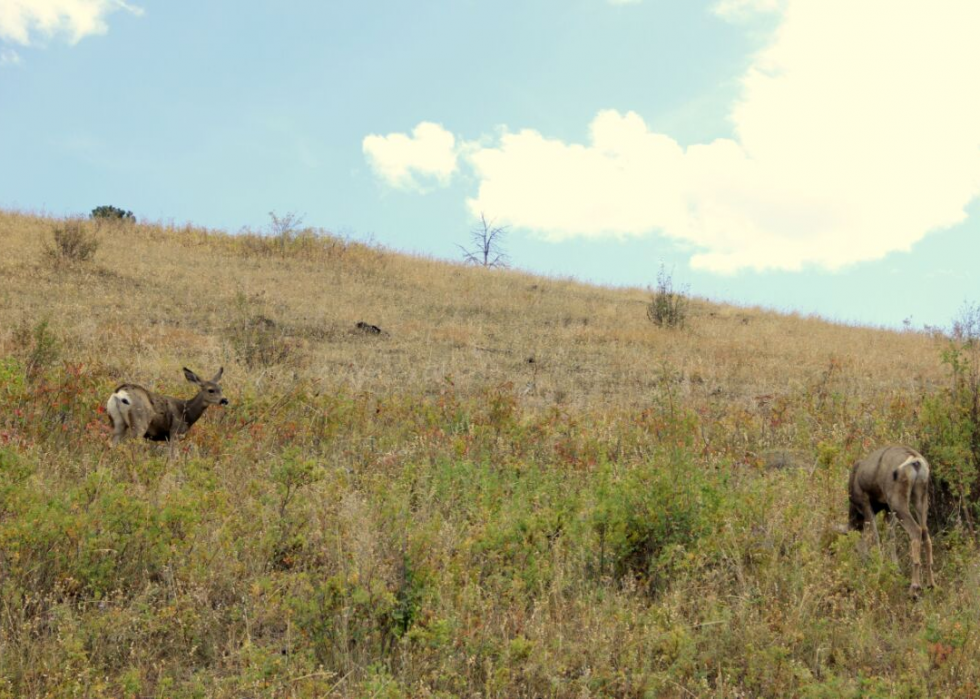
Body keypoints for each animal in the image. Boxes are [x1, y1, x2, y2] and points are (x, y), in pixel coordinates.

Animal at [848, 446, 936, 592]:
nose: (862, 562)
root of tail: (916, 461)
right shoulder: (887, 509)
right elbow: (890, 536)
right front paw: (895, 569)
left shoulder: (865, 503)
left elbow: (875, 535)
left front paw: (879, 566)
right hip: (921, 497)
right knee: (925, 534)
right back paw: (931, 584)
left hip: (897, 500)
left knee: (915, 531)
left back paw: (915, 587)